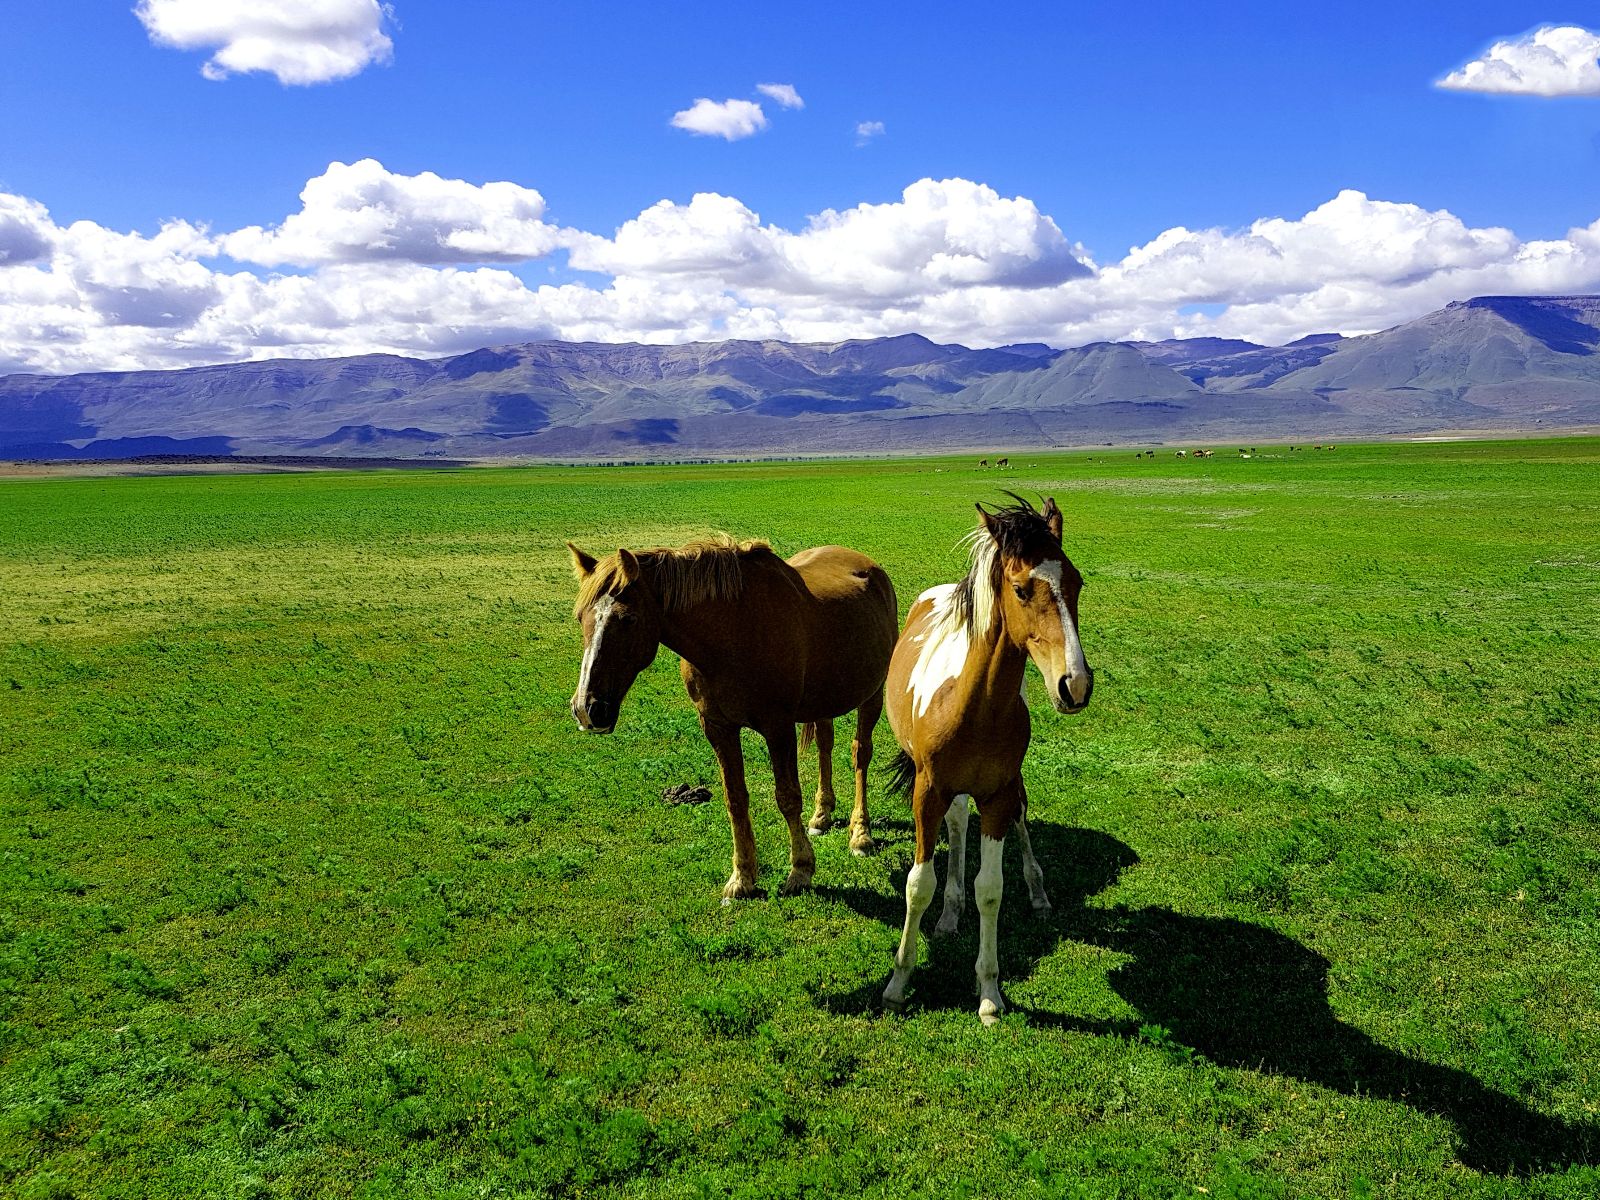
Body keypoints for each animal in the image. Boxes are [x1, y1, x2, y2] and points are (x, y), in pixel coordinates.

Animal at [567, 536, 898, 900]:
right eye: (580, 617)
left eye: (628, 619)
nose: (586, 708)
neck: (732, 633)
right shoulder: (718, 727)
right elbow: (735, 799)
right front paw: (742, 878)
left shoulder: (777, 727)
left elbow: (787, 797)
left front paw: (800, 870)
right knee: (825, 745)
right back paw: (821, 815)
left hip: (872, 694)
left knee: (860, 755)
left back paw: (861, 834)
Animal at [881, 495, 1093, 1024]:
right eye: (1021, 589)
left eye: (1076, 583)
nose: (1075, 684)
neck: (973, 705)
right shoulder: (928, 791)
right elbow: (919, 884)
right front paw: (897, 983)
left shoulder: (996, 795)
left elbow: (991, 889)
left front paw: (990, 993)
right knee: (957, 825)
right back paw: (949, 912)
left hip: (1008, 786)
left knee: (1019, 816)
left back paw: (1036, 892)